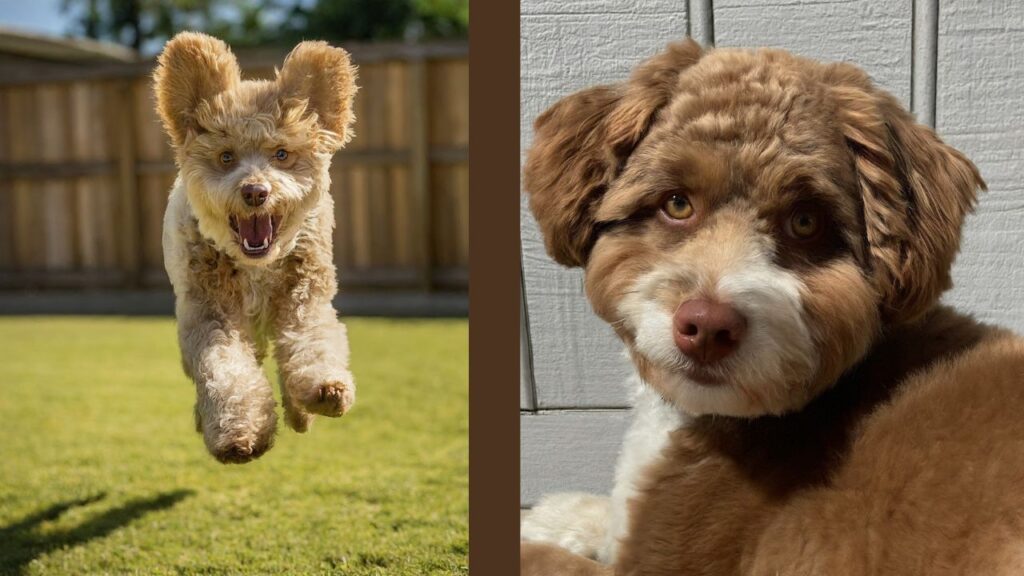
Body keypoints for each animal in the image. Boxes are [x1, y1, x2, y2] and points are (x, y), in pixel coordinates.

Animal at [153, 32, 358, 461]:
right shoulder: (210, 314)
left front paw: (325, 389)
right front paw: (238, 432)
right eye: (226, 157)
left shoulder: (304, 297)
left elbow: (312, 339)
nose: (255, 191)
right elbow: (225, 369)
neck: (257, 266)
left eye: (281, 154)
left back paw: (300, 412)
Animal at [520, 38, 1024, 569]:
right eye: (677, 204)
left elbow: (546, 558)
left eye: (805, 222)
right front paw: (557, 513)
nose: (707, 327)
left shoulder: (667, 556)